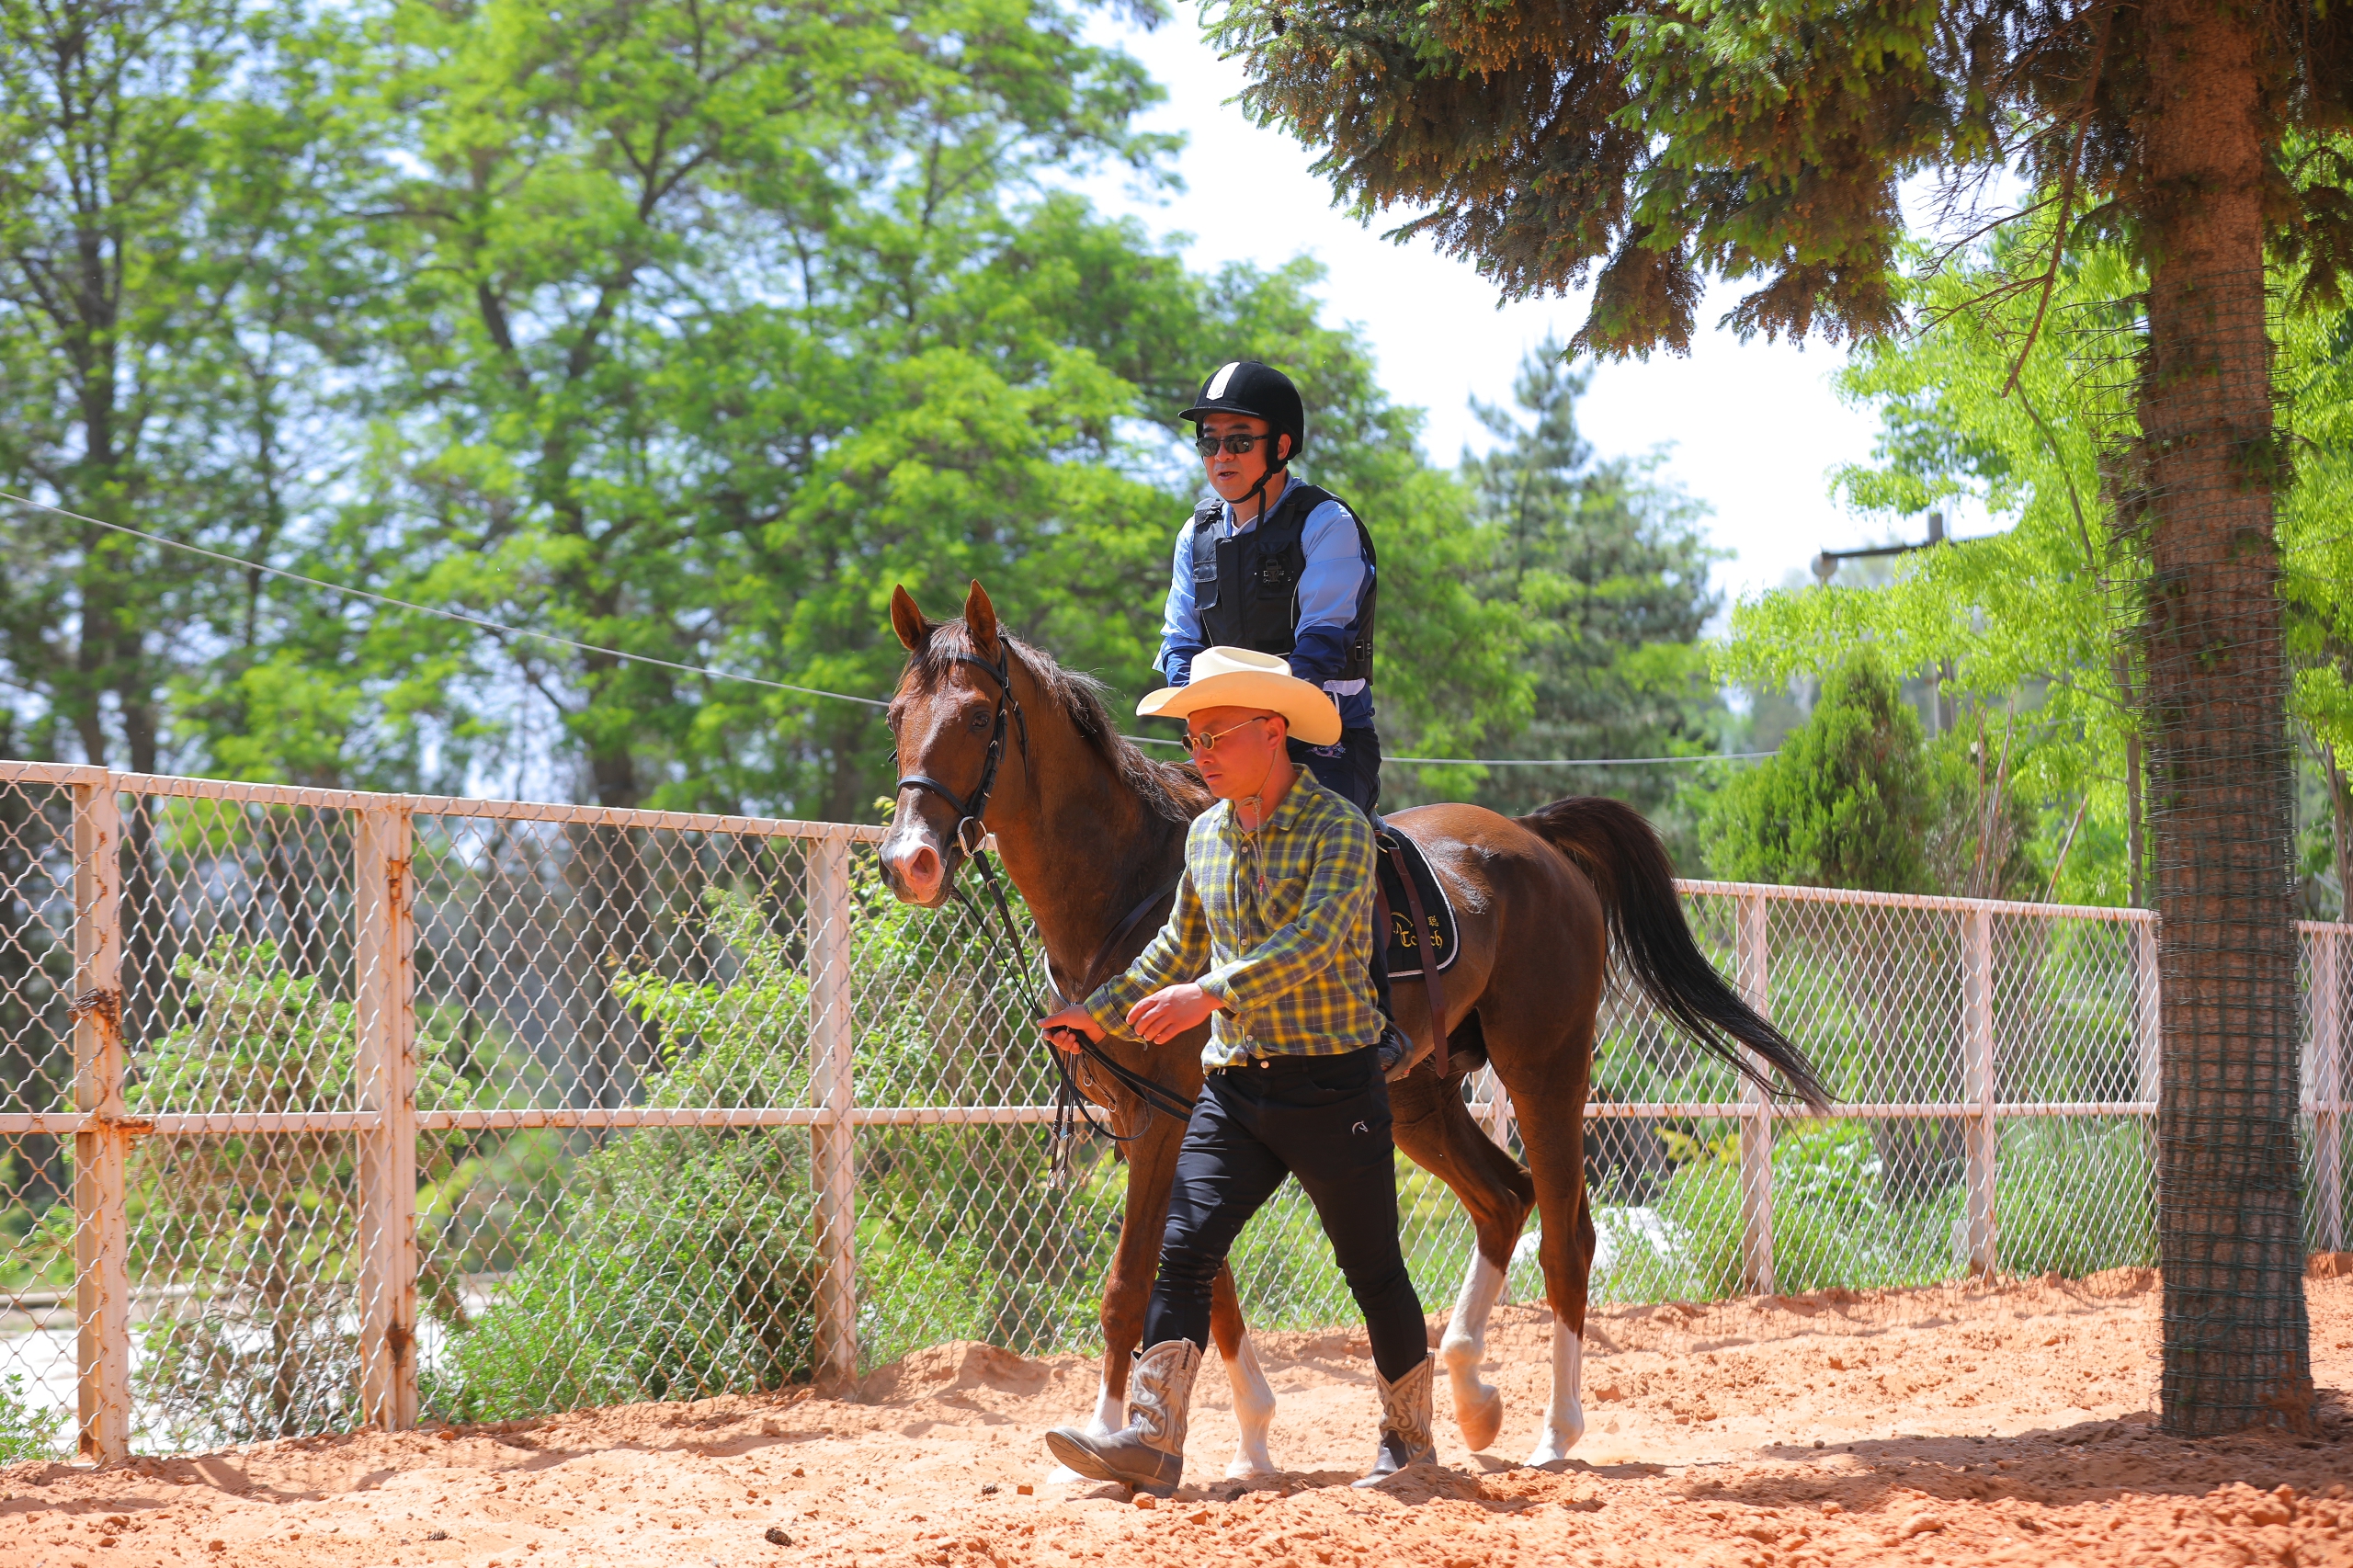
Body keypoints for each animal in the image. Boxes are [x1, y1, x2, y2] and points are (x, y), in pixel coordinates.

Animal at [879, 581, 1828, 1474]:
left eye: (976, 715)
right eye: (897, 715)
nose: (909, 862)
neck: (1130, 882)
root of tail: (1534, 839)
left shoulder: (1162, 1119)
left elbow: (1127, 1286)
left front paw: (1105, 1439)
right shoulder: (1164, 1116)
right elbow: (1210, 1288)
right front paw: (1251, 1442)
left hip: (1545, 1065)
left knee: (1567, 1232)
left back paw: (1557, 1432)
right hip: (1419, 1098)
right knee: (1504, 1199)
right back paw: (1471, 1396)